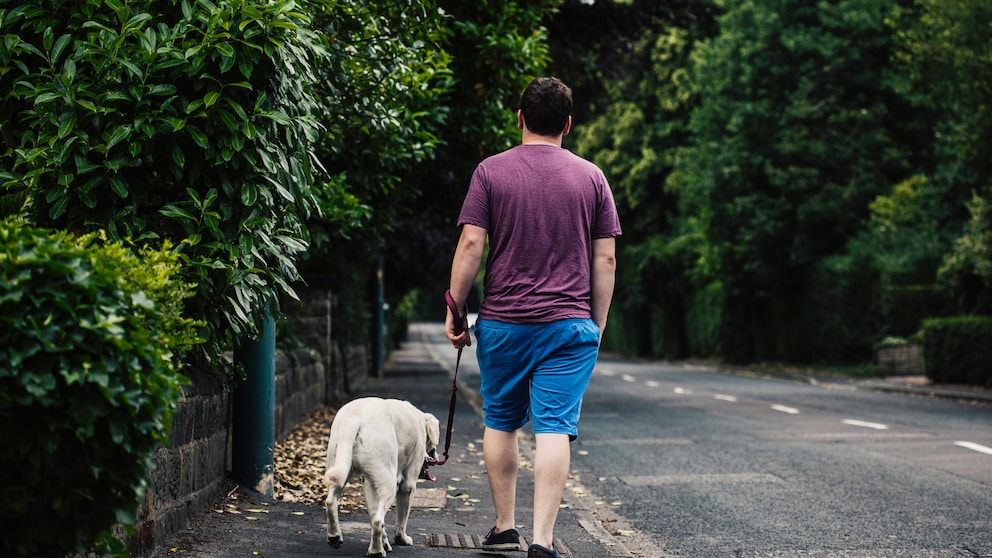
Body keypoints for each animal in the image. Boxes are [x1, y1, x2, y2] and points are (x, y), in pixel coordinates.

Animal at [324, 400, 440, 556]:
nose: (436, 456)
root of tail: (353, 417)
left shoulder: (368, 482)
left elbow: (373, 511)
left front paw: (385, 541)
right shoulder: (407, 485)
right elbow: (401, 520)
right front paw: (401, 539)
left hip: (342, 465)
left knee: (331, 501)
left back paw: (335, 536)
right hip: (389, 483)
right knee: (378, 521)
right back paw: (376, 551)